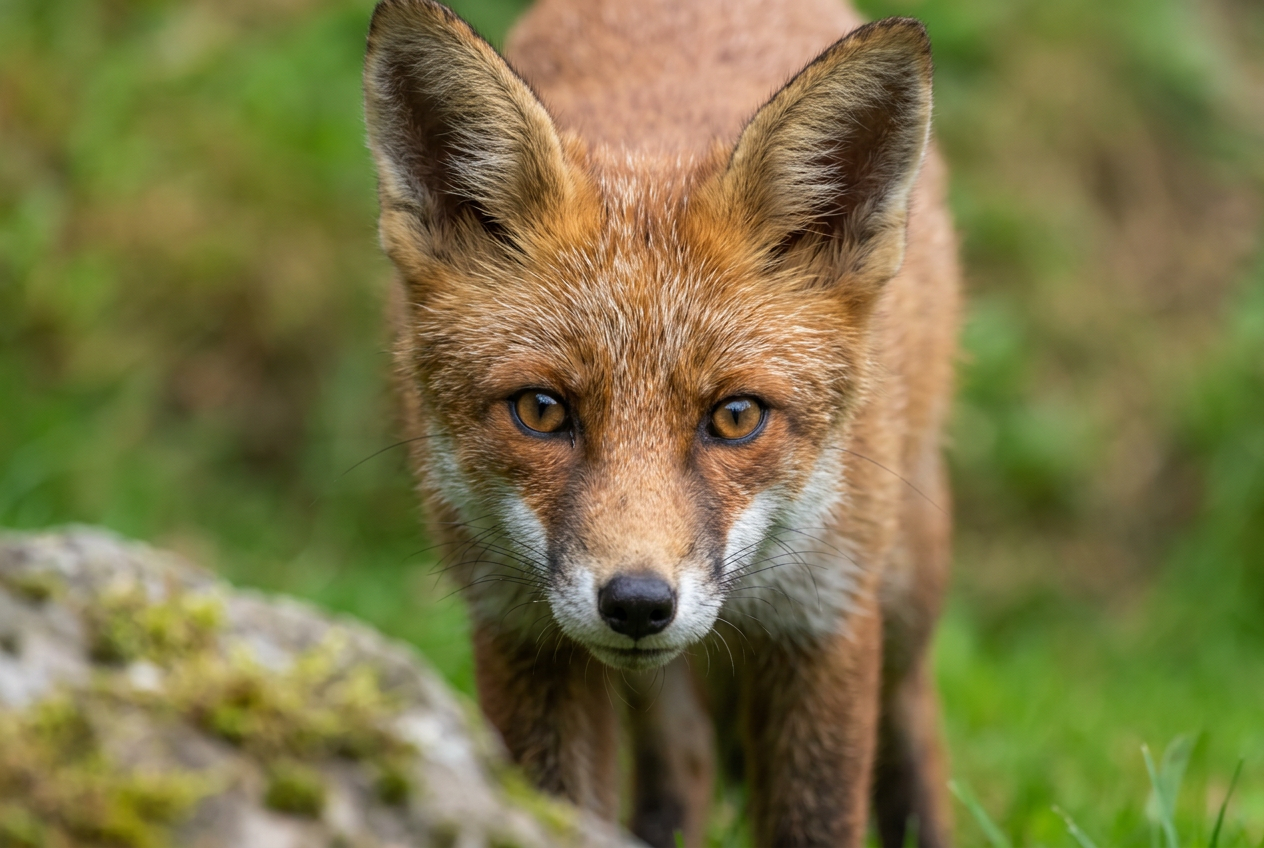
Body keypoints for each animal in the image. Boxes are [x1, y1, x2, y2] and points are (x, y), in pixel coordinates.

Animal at [363, 0, 959, 845]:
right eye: (541, 410)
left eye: (736, 417)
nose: (639, 603)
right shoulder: (522, 634)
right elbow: (555, 805)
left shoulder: (823, 618)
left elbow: (819, 813)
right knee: (685, 757)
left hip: (907, 578)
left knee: (915, 717)